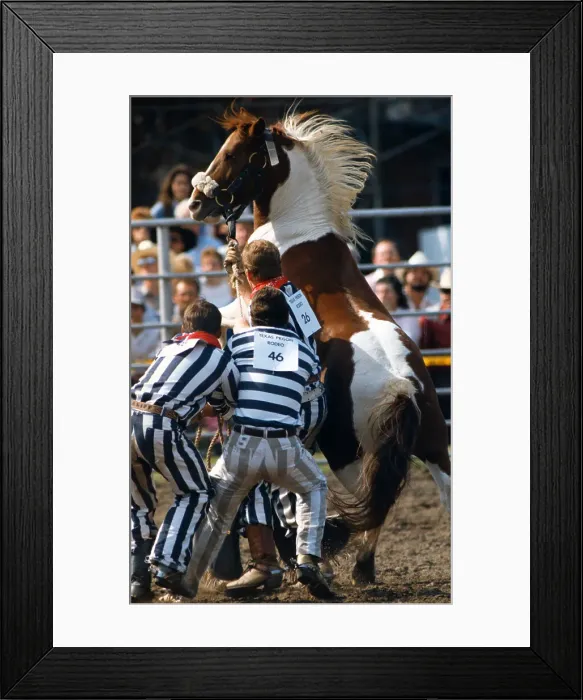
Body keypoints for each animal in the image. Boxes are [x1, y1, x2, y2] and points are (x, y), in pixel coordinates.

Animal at [188, 106, 451, 584]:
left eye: (233, 153)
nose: (197, 203)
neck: (297, 230)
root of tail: (403, 388)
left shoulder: (244, 310)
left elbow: (219, 318)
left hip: (347, 451)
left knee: (371, 505)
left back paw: (352, 567)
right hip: (436, 448)